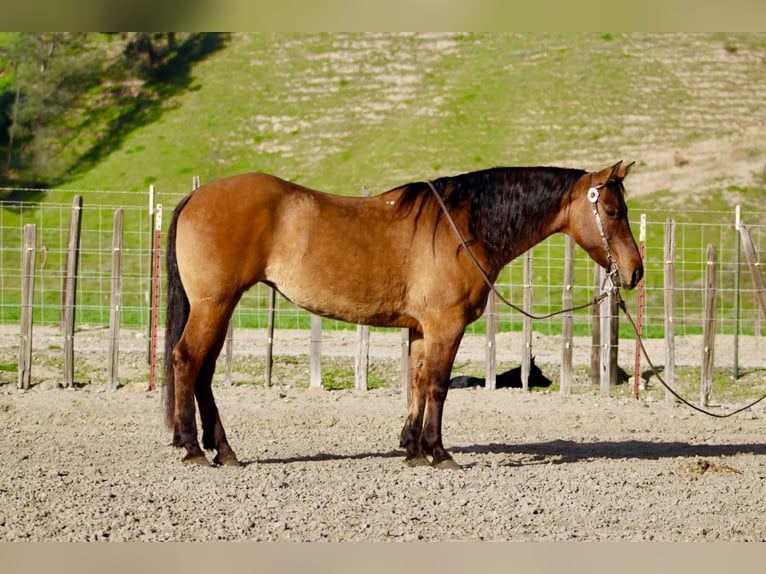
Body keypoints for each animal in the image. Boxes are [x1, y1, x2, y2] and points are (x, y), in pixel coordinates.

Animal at [164, 161, 643, 469]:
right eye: (612, 211)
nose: (635, 271)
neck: (462, 227)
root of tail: (196, 196)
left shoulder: (420, 329)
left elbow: (416, 382)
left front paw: (413, 450)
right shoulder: (445, 325)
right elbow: (437, 385)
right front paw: (439, 452)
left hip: (220, 307)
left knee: (203, 372)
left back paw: (222, 450)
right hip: (213, 304)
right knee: (186, 361)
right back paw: (193, 449)